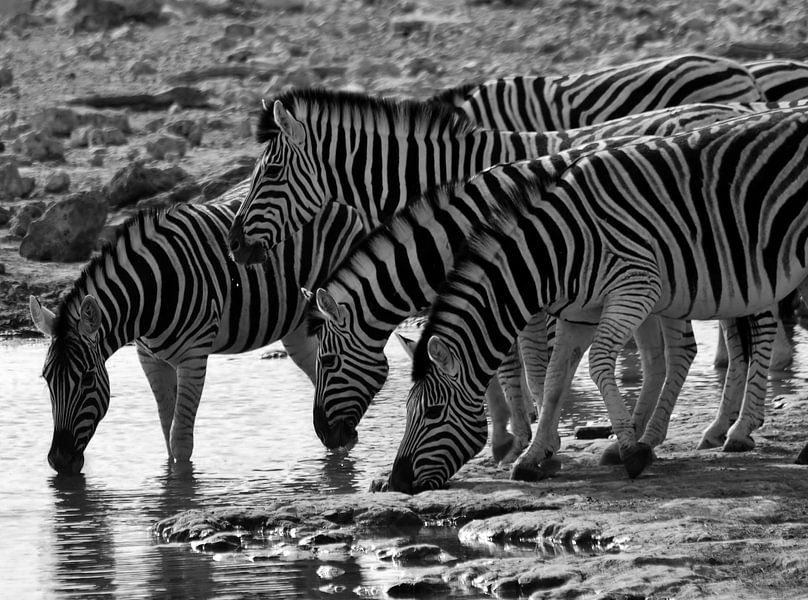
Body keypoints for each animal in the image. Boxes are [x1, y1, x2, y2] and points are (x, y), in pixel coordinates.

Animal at [28, 188, 362, 474]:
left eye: (86, 379)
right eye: (46, 379)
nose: (60, 461)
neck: (151, 292)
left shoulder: (194, 356)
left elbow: (180, 439)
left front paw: (182, 488)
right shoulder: (150, 358)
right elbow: (167, 431)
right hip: (296, 326)